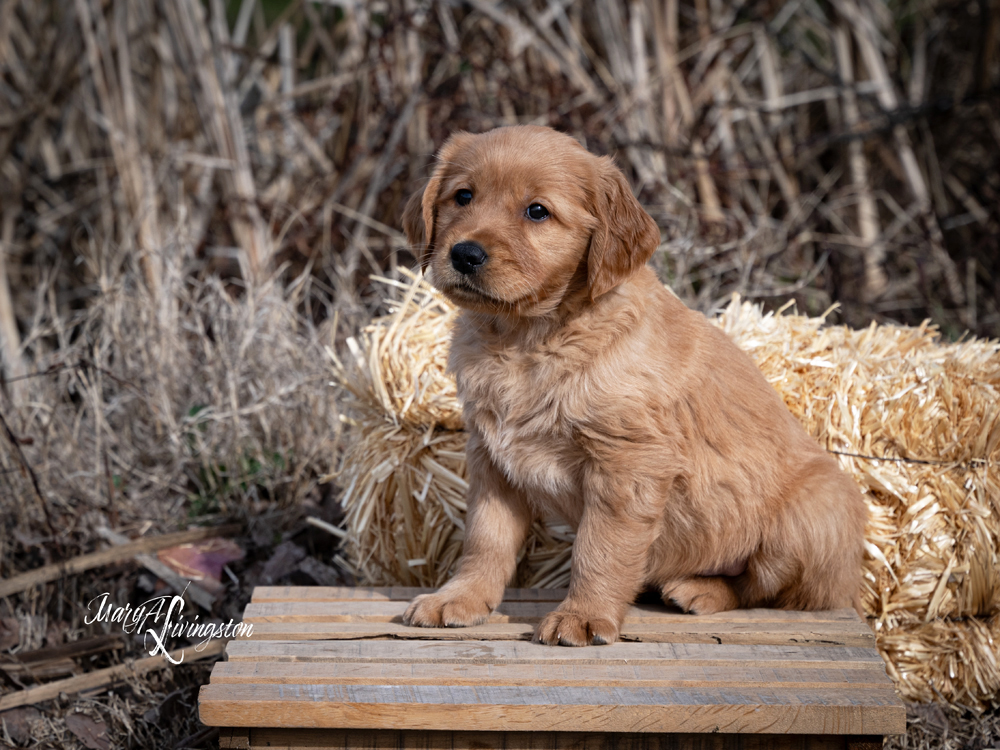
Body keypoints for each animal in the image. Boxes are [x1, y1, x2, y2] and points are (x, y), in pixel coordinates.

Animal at [398, 126, 868, 648]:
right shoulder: (492, 459)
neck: (527, 339)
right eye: (463, 196)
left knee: (767, 589)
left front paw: (582, 616)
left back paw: (698, 590)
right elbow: (486, 539)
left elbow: (600, 548)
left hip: (812, 513)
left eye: (537, 211)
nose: (464, 254)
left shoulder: (627, 462)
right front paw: (460, 598)